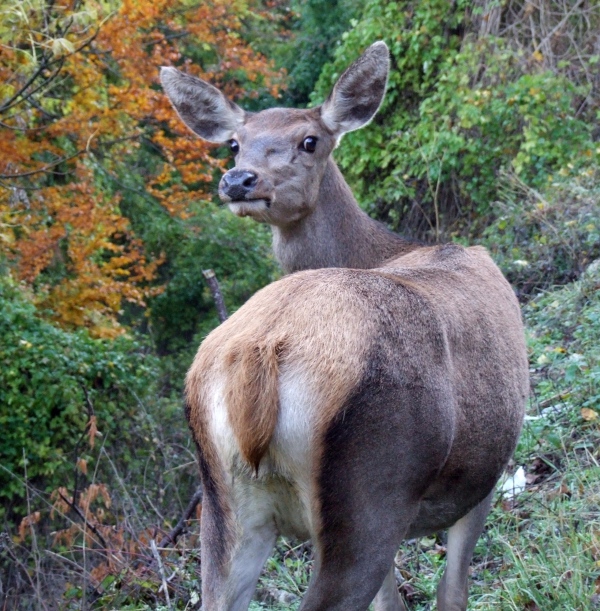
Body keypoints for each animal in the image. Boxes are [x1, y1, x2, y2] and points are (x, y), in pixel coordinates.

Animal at [161, 43, 528, 611]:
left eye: (309, 140)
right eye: (235, 144)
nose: (238, 180)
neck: (390, 249)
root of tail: (259, 355)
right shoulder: (487, 469)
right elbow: (452, 591)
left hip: (222, 505)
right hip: (370, 484)